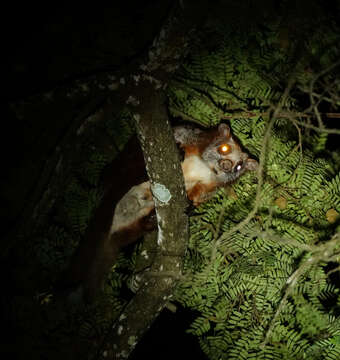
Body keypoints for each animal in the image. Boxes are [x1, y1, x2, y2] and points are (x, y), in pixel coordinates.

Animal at [61, 122, 258, 302]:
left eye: (239, 166)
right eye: (225, 148)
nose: (227, 165)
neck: (205, 168)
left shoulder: (210, 186)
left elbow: (198, 197)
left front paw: (190, 205)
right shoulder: (193, 136)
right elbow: (175, 133)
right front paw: (179, 149)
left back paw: (151, 219)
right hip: (120, 176)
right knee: (124, 166)